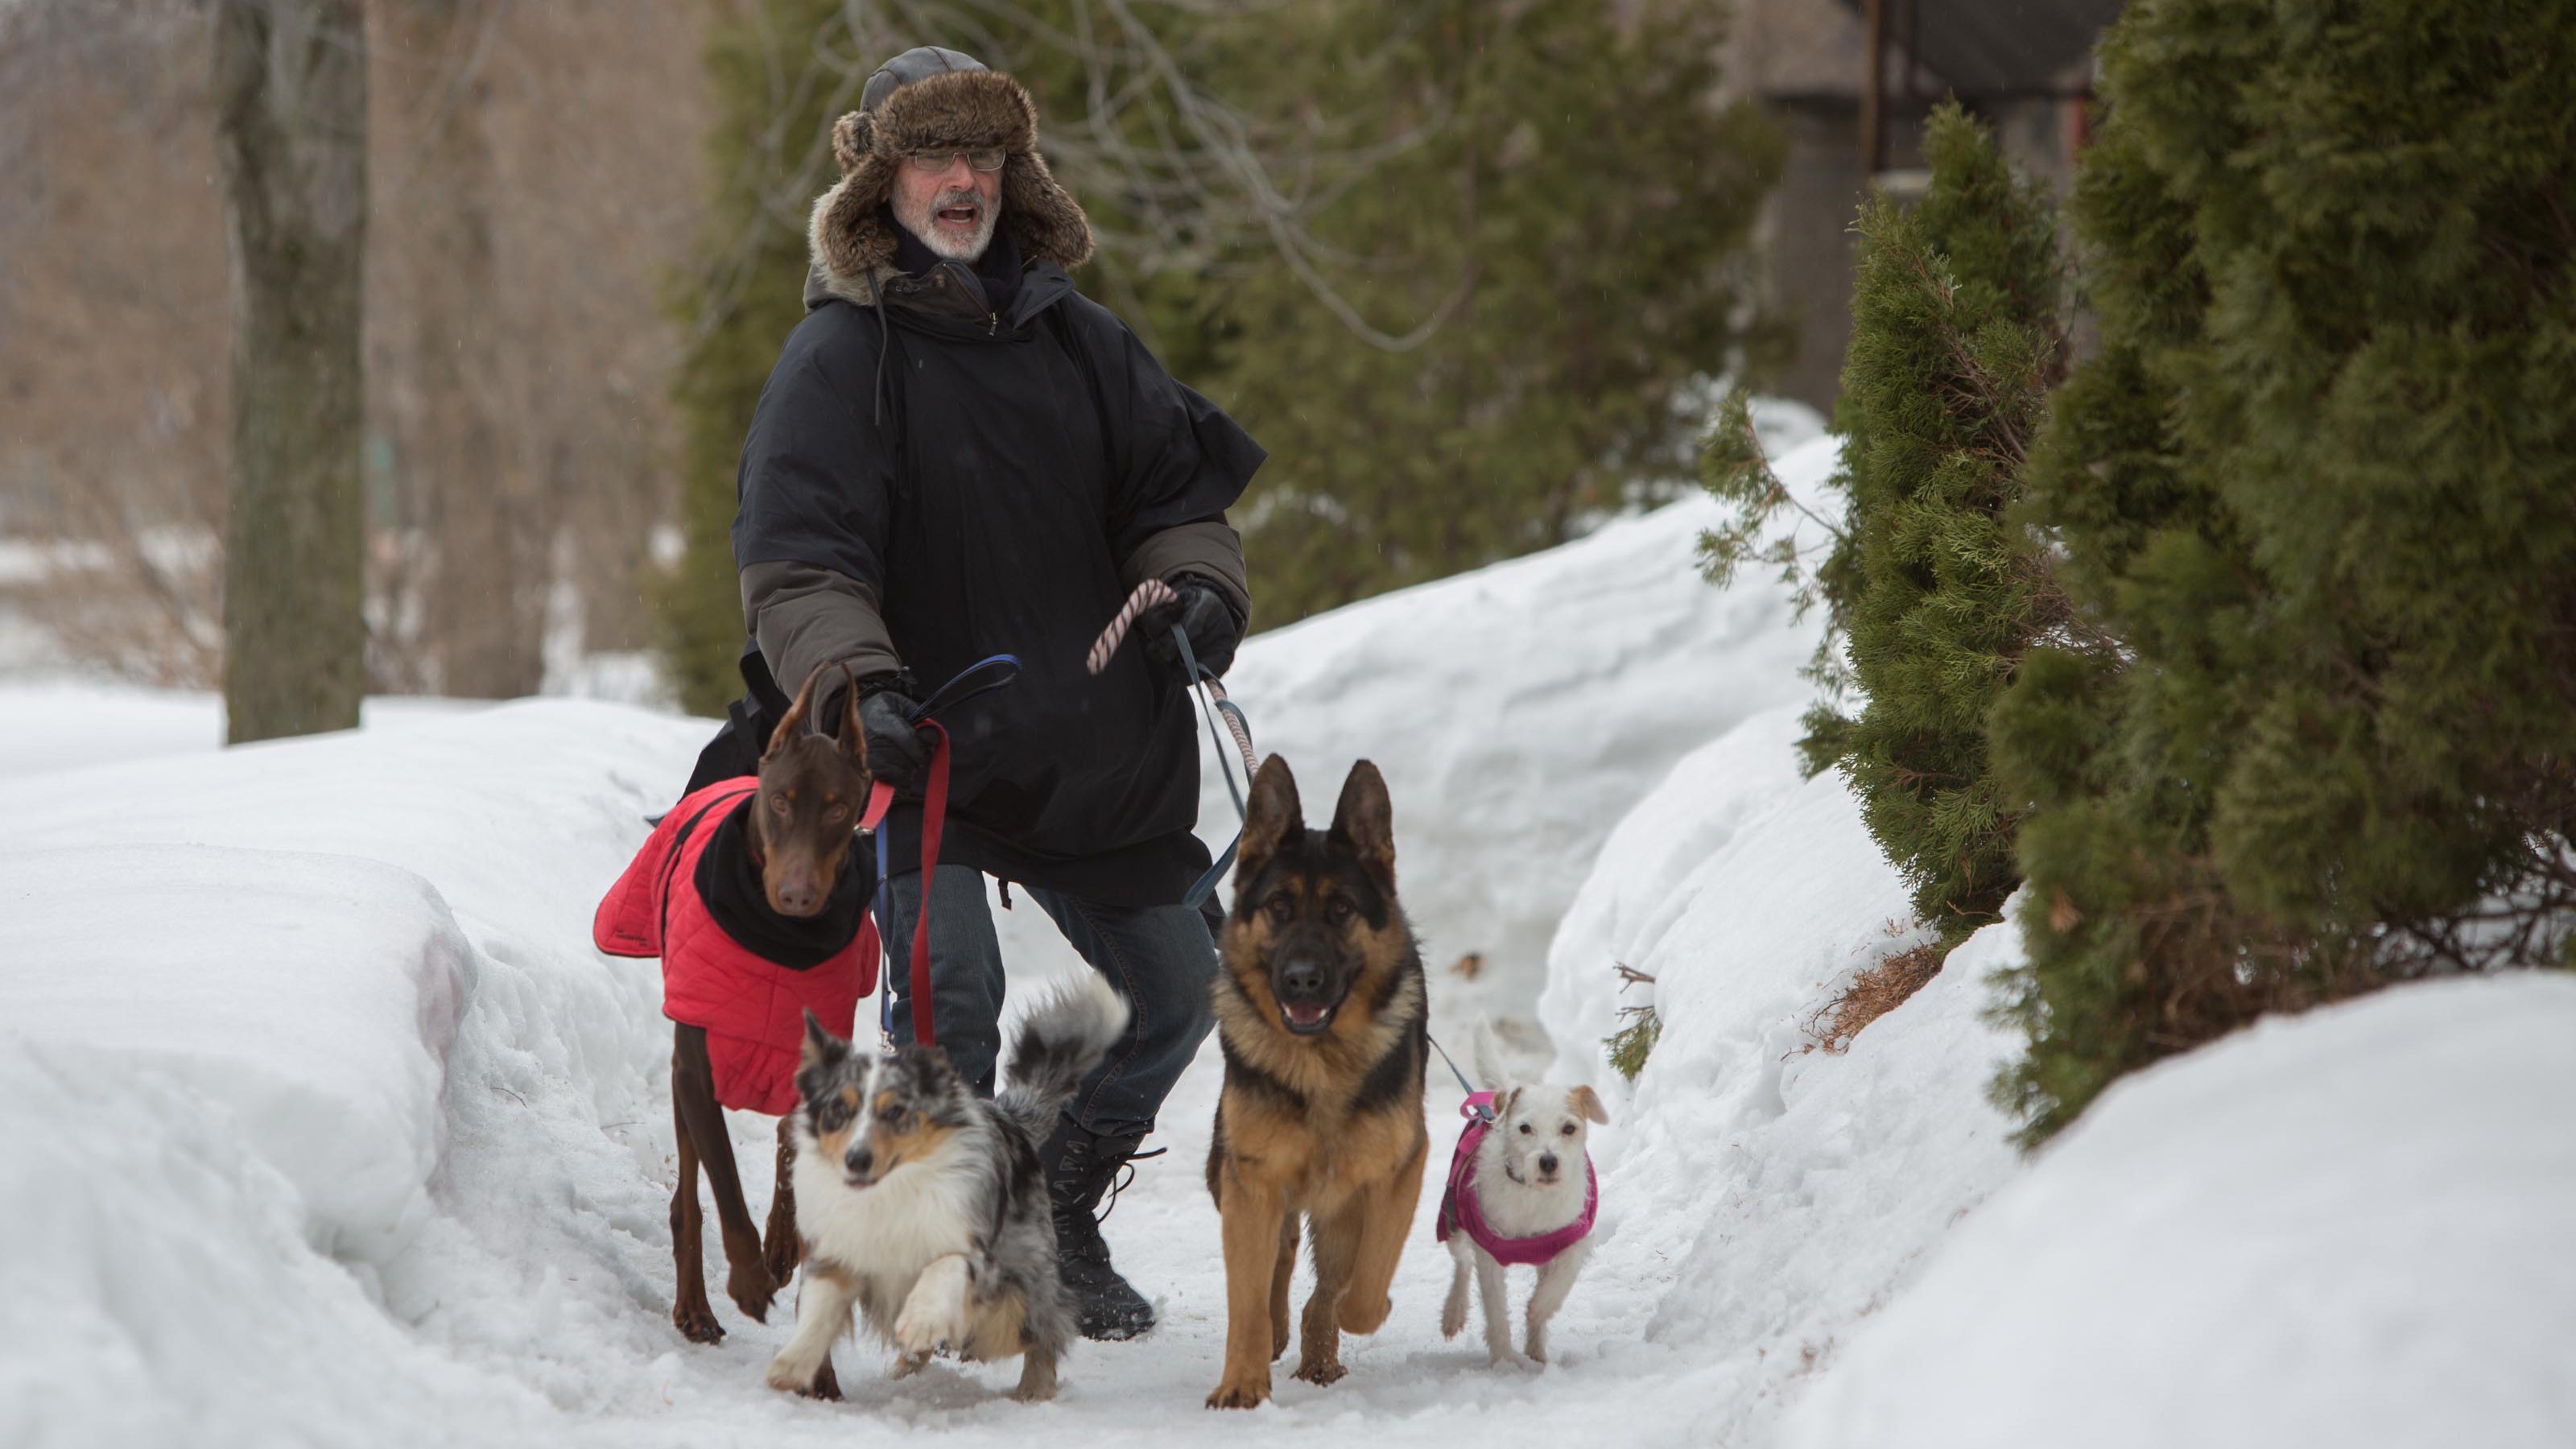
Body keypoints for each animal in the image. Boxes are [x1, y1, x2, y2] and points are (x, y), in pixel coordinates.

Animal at [1432, 1015, 1607, 1361]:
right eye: (1525, 1128)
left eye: (1569, 1128)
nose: (1548, 1161)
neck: (1533, 1196)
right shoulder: (1489, 1249)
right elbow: (1495, 1307)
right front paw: (1504, 1361)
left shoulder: (1572, 1239)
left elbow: (1557, 1285)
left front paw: (1537, 1314)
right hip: (1453, 1216)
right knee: (1462, 1263)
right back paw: (1453, 1312)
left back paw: (1536, 1348)